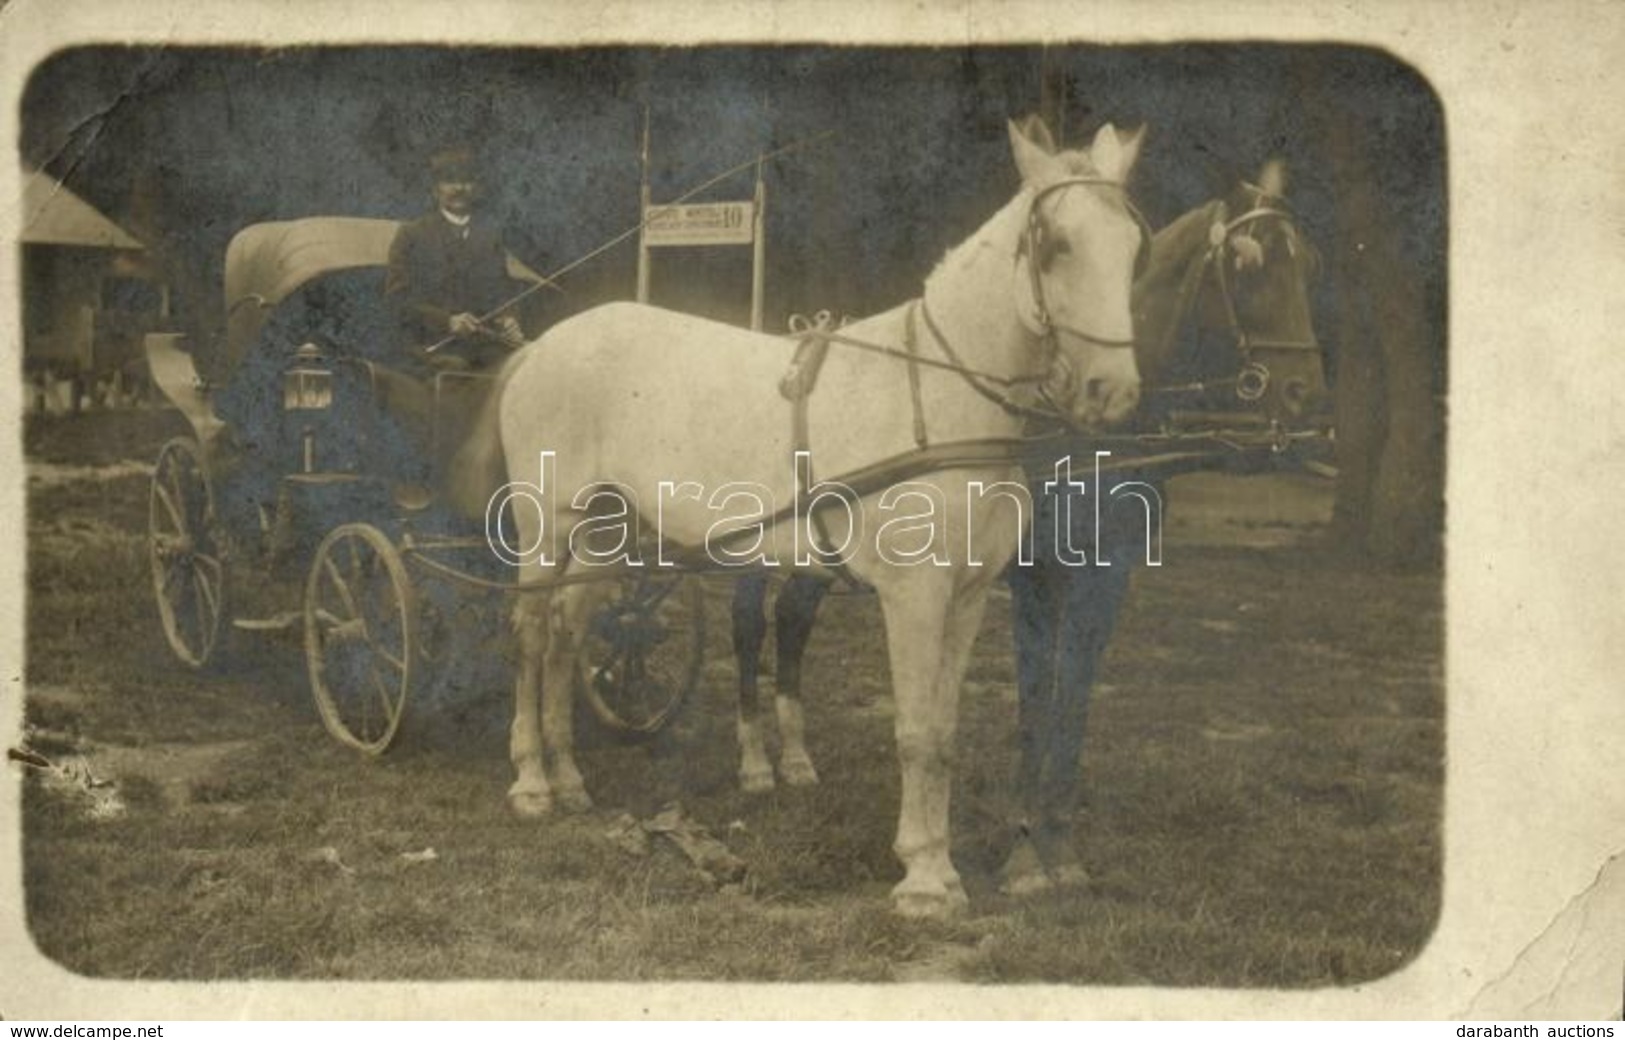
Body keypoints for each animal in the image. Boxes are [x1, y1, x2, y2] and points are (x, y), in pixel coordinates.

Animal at [458, 117, 1144, 916]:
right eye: (1055, 245)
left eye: (1131, 245)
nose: (1112, 391)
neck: (938, 401)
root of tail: (543, 344)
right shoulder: (914, 594)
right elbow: (917, 731)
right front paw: (924, 881)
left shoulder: (968, 595)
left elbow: (944, 730)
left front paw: (937, 866)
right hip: (548, 526)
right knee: (534, 635)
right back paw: (532, 782)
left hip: (605, 531)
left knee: (569, 636)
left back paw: (569, 780)